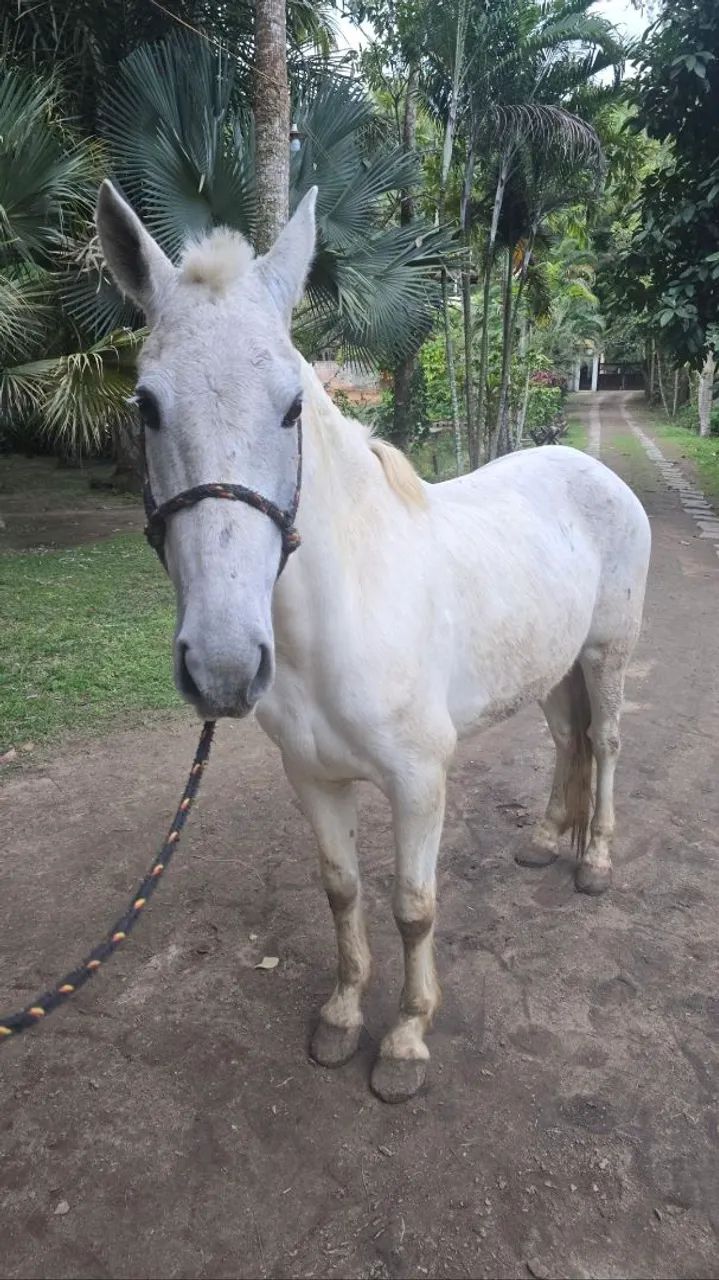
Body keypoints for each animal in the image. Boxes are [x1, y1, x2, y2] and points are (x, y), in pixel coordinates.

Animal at [96, 182, 651, 1104]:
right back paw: (543, 842)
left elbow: (412, 907)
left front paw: (405, 1041)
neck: (344, 616)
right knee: (566, 741)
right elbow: (343, 891)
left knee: (604, 743)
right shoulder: (314, 779)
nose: (222, 666)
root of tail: (590, 470)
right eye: (146, 405)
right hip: (547, 670)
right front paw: (342, 1016)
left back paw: (595, 861)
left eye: (291, 405)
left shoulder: (419, 781)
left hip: (606, 654)